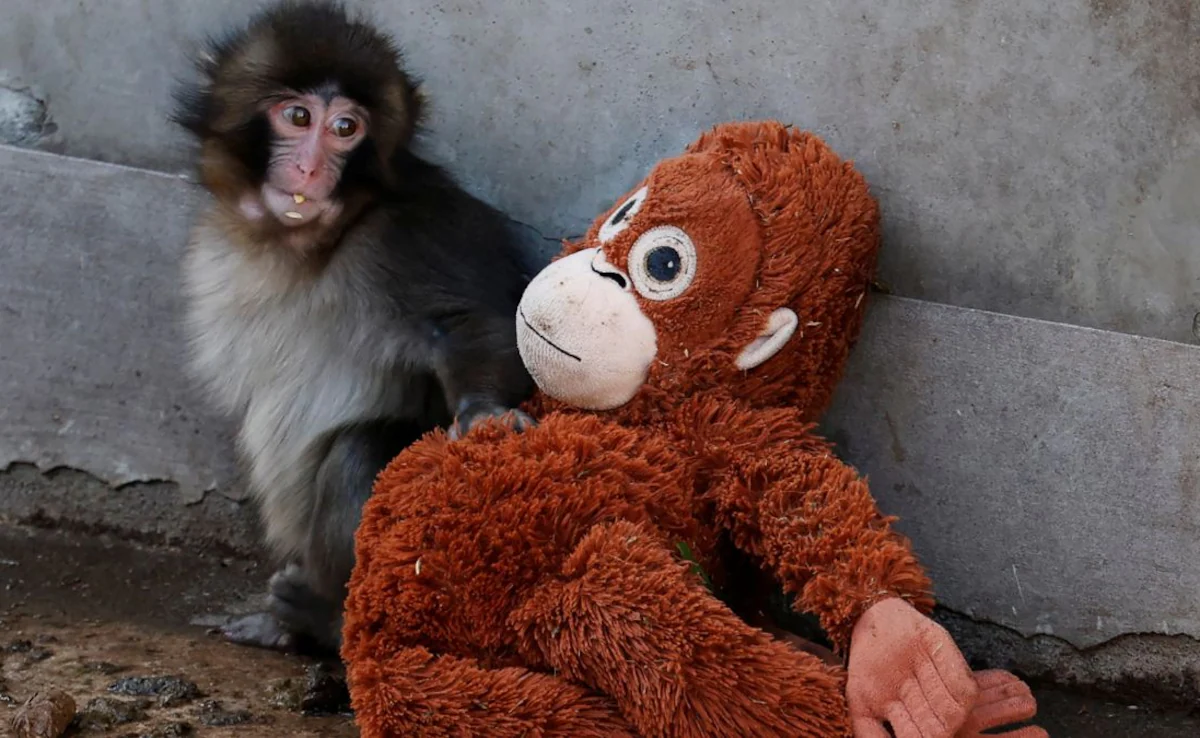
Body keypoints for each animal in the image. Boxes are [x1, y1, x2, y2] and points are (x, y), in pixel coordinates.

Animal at [172, 0, 536, 655]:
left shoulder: (410, 233)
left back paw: (325, 621)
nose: (311, 167)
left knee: (357, 453)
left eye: (347, 128)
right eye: (297, 116)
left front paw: (485, 413)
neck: (308, 244)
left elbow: (472, 322)